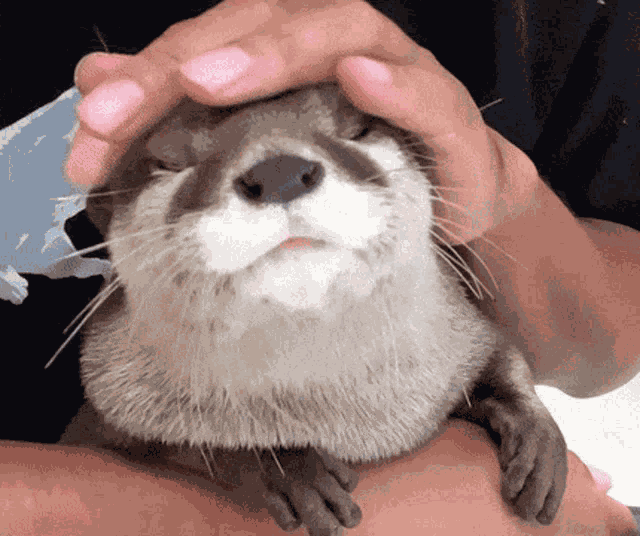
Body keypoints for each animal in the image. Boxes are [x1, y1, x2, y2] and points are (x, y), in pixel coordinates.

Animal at [59, 82, 567, 535]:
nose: (280, 171)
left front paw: (537, 440)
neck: (351, 420)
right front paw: (289, 469)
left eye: (357, 129)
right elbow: (190, 444)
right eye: (169, 163)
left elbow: (503, 358)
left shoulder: (462, 337)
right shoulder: (108, 405)